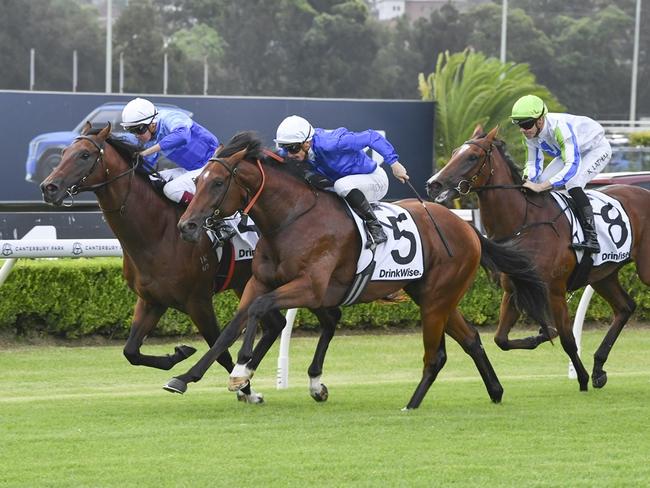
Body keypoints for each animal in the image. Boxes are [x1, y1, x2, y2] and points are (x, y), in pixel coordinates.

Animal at [38, 123, 294, 404]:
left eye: (84, 155)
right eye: (63, 153)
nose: (49, 187)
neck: (158, 232)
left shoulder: (198, 302)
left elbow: (221, 350)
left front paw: (245, 390)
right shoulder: (152, 300)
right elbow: (131, 351)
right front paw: (180, 353)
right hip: (247, 282)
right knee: (276, 324)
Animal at [159, 131, 548, 408]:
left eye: (218, 182)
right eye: (198, 180)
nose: (186, 226)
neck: (290, 219)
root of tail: (467, 228)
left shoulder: (310, 286)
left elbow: (258, 310)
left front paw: (242, 369)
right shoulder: (259, 282)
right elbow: (233, 325)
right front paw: (185, 377)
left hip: (438, 297)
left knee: (436, 354)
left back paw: (412, 404)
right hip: (431, 296)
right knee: (471, 340)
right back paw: (495, 391)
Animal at [426, 126, 648, 392]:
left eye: (472, 157)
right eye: (454, 152)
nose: (433, 184)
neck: (523, 222)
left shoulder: (554, 291)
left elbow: (567, 339)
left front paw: (582, 378)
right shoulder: (514, 289)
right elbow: (501, 339)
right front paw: (541, 335)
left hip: (644, 269)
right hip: (603, 275)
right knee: (625, 307)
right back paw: (598, 368)